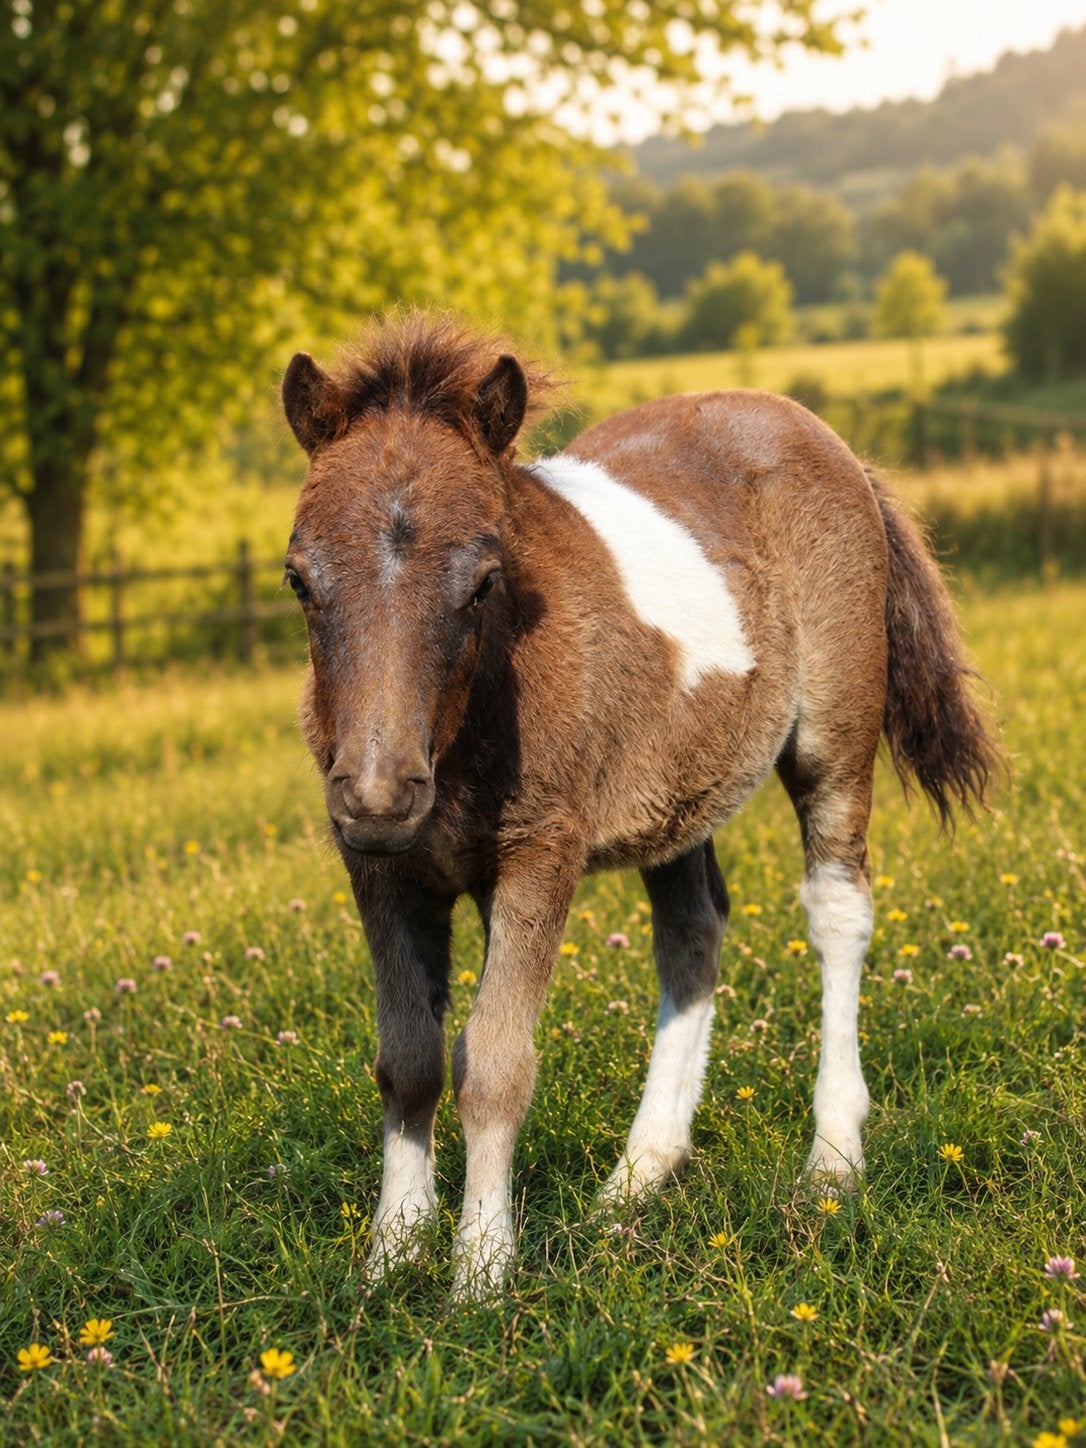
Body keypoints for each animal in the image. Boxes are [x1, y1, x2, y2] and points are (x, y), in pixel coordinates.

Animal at [280, 314, 998, 1297]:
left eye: (485, 581)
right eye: (299, 580)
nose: (382, 796)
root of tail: (824, 436)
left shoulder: (541, 852)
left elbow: (494, 1060)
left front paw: (480, 1271)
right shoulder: (382, 870)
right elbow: (409, 1060)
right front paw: (391, 1255)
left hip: (836, 738)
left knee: (838, 911)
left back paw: (832, 1160)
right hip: (679, 794)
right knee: (693, 933)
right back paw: (638, 1174)